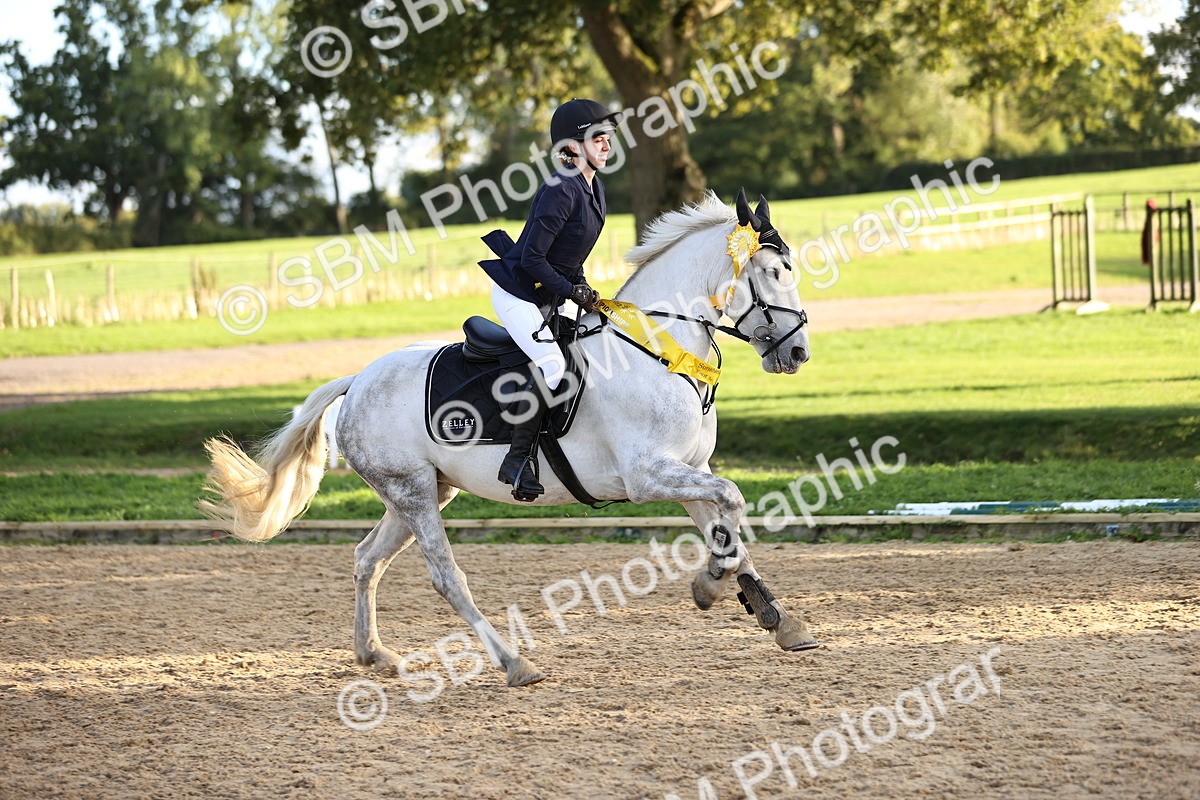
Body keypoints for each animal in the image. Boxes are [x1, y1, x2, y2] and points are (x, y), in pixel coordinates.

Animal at [200, 189, 817, 688]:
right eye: (774, 271)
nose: (798, 354)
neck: (659, 350)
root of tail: (358, 380)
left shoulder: (689, 469)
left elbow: (725, 521)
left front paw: (774, 617)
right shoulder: (648, 475)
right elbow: (733, 501)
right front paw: (712, 584)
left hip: (420, 491)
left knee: (366, 559)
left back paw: (373, 654)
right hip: (413, 493)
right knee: (445, 577)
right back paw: (514, 663)